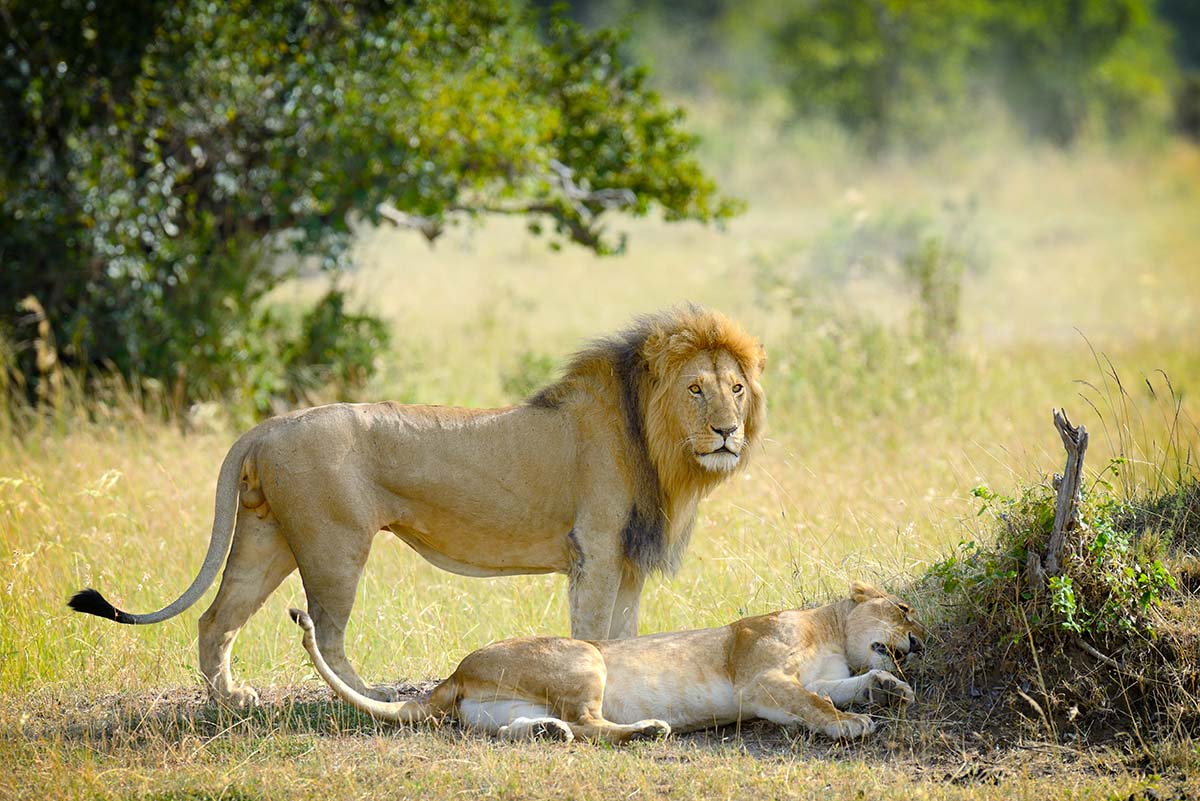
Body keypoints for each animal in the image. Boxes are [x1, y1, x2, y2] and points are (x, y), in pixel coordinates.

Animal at [68, 305, 767, 708]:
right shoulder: (594, 550)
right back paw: (366, 699)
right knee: (326, 631)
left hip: (267, 537)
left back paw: (232, 702)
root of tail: (267, 426)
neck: (656, 443)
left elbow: (625, 632)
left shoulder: (626, 560)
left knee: (217, 620)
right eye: (696, 389)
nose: (728, 432)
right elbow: (595, 632)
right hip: (333, 544)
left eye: (736, 388)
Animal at [289, 581, 925, 742]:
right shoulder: (761, 678)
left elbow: (846, 684)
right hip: (584, 658)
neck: (829, 632)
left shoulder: (818, 676)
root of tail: (456, 674)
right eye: (905, 610)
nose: (919, 643)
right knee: (592, 723)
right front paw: (854, 724)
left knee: (544, 727)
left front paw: (891, 689)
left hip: (497, 711)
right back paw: (647, 730)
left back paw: (545, 732)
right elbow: (814, 703)